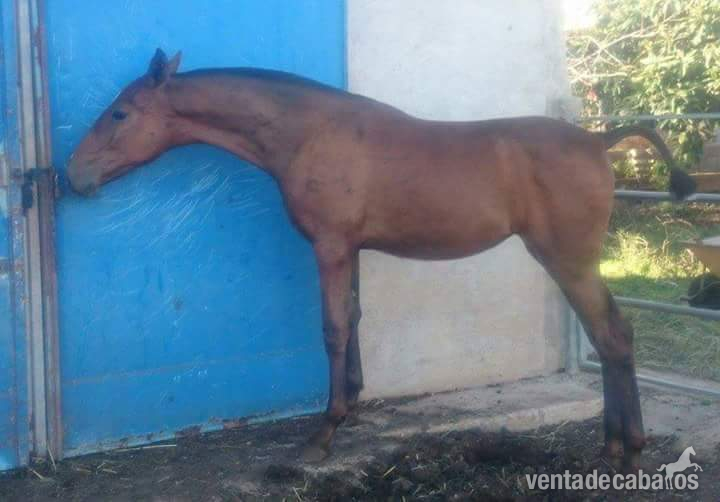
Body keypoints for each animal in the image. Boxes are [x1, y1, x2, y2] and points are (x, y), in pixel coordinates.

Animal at [67, 49, 696, 471]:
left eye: (120, 114)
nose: (71, 175)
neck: (310, 132)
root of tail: (597, 140)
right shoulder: (351, 250)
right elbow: (354, 321)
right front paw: (351, 406)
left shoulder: (329, 247)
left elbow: (333, 328)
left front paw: (323, 433)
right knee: (610, 336)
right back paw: (612, 442)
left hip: (568, 261)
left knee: (613, 336)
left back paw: (628, 450)